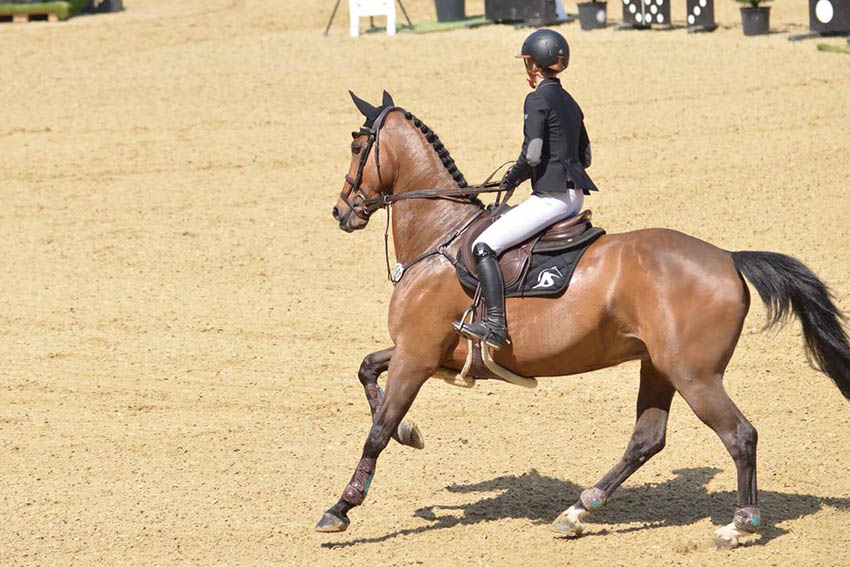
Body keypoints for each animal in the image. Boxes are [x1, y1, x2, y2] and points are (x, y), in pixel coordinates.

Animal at [314, 91, 848, 548]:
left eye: (358, 145)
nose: (341, 211)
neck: (440, 237)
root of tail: (728, 259)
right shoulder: (423, 351)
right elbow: (367, 370)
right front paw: (410, 434)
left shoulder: (417, 355)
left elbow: (378, 429)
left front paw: (341, 507)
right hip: (659, 367)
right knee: (646, 440)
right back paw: (578, 511)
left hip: (695, 375)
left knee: (739, 435)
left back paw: (738, 526)